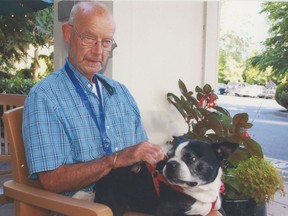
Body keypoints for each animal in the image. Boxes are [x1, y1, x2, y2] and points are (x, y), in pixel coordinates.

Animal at [94, 139, 238, 215]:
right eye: (168, 156)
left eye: (190, 158)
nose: (170, 164)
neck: (201, 192)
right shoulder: (166, 211)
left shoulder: (220, 209)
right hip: (115, 206)